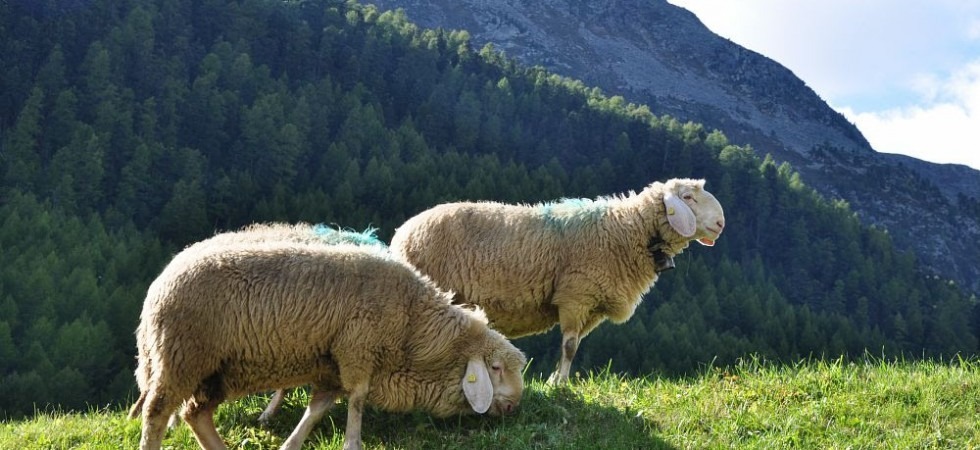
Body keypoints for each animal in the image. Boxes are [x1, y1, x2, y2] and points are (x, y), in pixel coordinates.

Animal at [128, 240, 527, 450]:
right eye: (494, 368)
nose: (513, 408)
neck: (413, 326)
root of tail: (158, 285)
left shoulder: (332, 364)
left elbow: (317, 408)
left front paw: (291, 444)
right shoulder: (358, 349)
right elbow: (358, 399)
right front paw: (353, 442)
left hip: (216, 369)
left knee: (196, 413)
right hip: (181, 356)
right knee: (157, 413)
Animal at [390, 178, 725, 383]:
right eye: (687, 197)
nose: (721, 223)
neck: (627, 230)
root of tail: (401, 235)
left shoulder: (593, 306)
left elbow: (573, 346)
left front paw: (554, 378)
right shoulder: (577, 294)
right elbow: (569, 347)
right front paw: (561, 384)